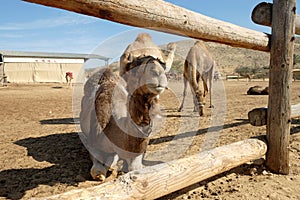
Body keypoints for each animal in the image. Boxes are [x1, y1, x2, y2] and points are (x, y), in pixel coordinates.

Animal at [79, 33, 172, 181]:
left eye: (163, 65)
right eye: (134, 68)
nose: (158, 74)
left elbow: (134, 167)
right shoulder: (95, 146)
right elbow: (98, 172)